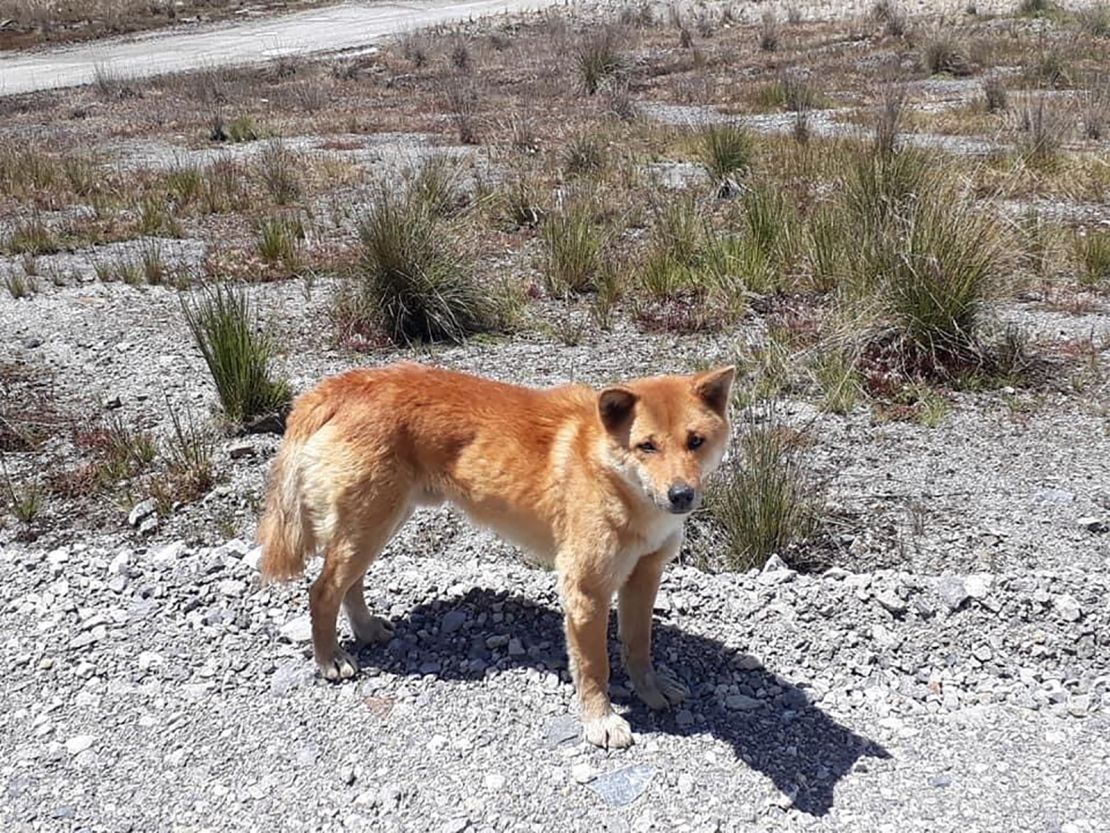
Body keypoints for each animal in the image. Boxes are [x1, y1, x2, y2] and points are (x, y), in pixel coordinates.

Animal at [255, 359, 732, 750]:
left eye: (695, 441)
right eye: (646, 446)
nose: (681, 495)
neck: (613, 479)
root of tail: (341, 383)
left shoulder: (643, 578)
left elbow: (638, 647)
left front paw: (651, 691)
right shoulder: (586, 590)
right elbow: (595, 668)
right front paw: (601, 721)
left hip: (378, 525)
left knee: (348, 586)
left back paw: (367, 629)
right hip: (368, 527)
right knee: (322, 592)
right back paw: (330, 659)